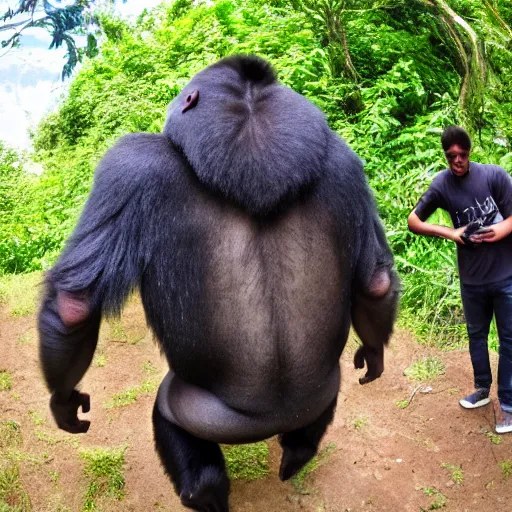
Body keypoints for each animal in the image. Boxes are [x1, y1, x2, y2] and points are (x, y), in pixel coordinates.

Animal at [40, 54, 400, 510]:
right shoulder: (346, 163)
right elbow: (376, 281)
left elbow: (74, 305)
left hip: (204, 412)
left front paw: (63, 401)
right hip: (322, 391)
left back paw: (203, 489)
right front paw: (374, 353)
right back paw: (298, 453)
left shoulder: (130, 161)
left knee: (170, 416)